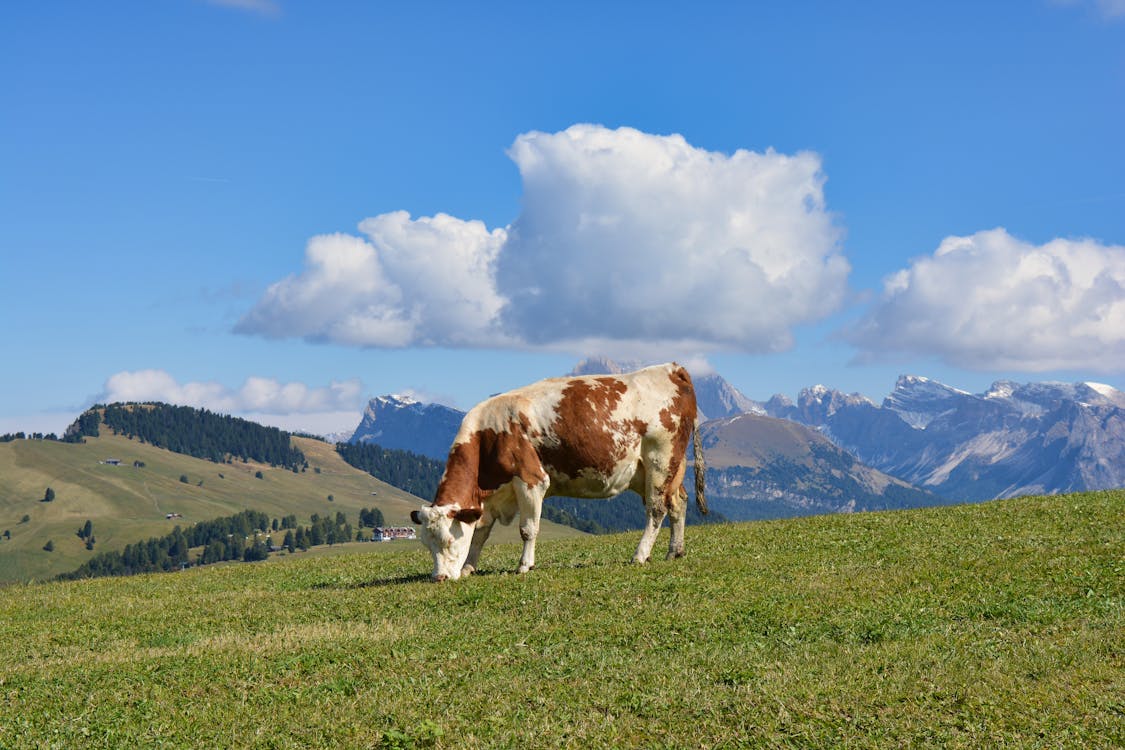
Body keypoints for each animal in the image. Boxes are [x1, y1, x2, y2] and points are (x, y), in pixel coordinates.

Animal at [409, 366, 706, 584]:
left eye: (449, 541)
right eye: (426, 544)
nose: (439, 578)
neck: (489, 435)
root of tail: (671, 368)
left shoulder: (531, 480)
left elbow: (527, 529)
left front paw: (524, 565)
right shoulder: (490, 497)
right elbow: (480, 533)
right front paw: (469, 567)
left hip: (660, 460)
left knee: (656, 510)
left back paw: (640, 554)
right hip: (666, 469)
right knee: (678, 503)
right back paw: (674, 551)